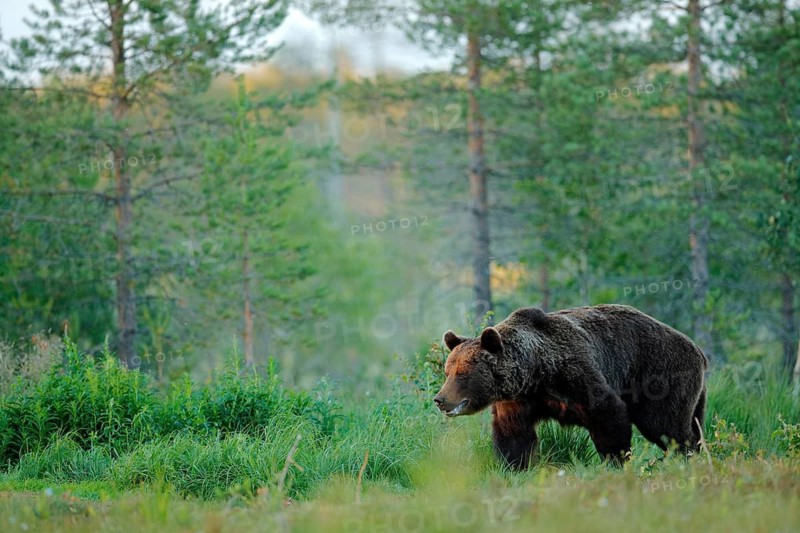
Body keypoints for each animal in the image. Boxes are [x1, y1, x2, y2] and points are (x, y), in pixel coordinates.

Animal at [433, 304, 708, 469]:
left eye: (462, 374)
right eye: (447, 372)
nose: (440, 399)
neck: (536, 372)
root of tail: (698, 350)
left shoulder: (576, 374)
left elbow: (608, 413)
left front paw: (615, 460)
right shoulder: (517, 401)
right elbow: (513, 435)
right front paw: (515, 466)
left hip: (659, 375)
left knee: (668, 426)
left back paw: (687, 457)